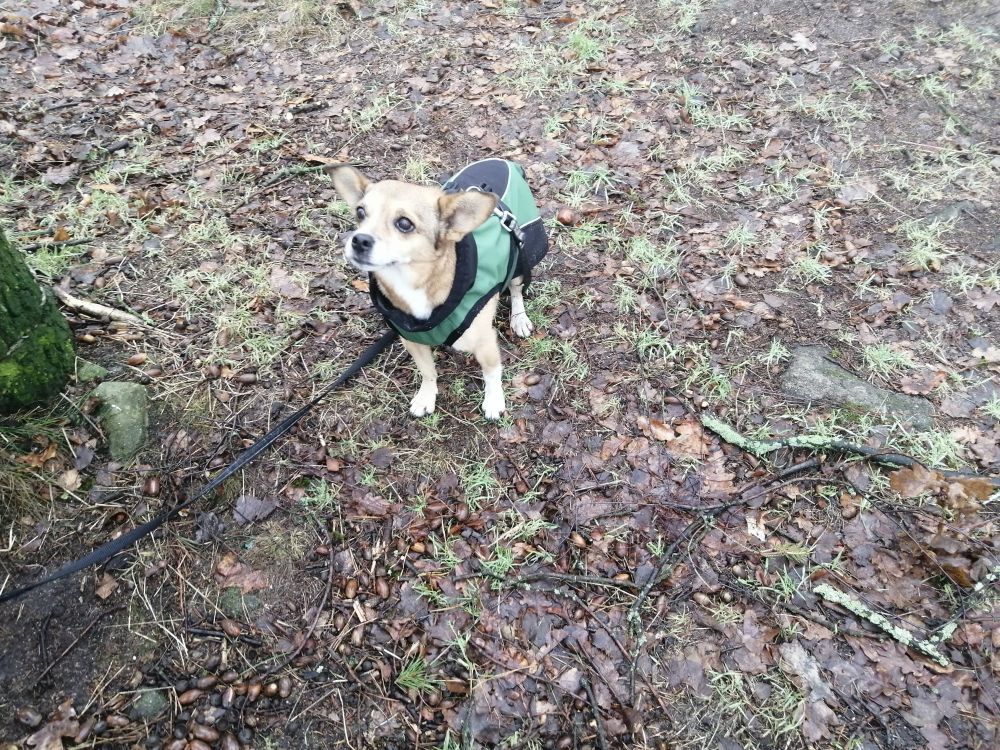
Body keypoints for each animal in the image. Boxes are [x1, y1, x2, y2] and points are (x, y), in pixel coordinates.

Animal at [331, 159, 547, 420]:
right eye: (360, 212)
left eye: (404, 224)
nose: (359, 240)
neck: (414, 282)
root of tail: (503, 161)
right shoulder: (413, 342)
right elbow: (428, 372)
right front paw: (426, 396)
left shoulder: (485, 343)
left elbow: (492, 372)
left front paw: (494, 400)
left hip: (517, 262)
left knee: (516, 291)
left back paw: (519, 319)